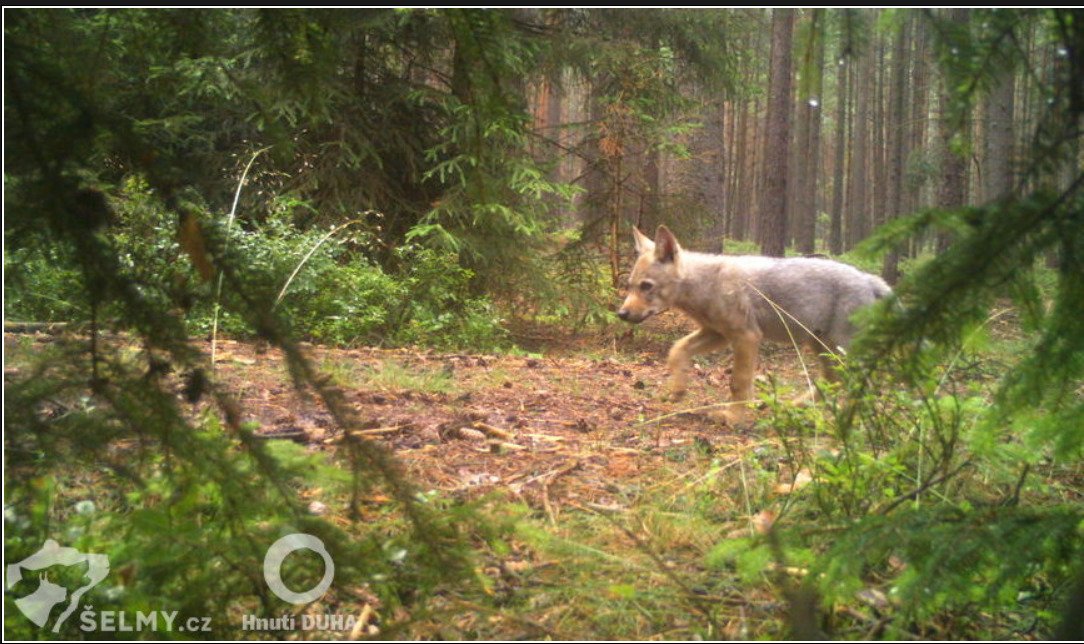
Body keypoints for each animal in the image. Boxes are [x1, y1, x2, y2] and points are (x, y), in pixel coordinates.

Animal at [620, 223, 888, 407]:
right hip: (822, 347)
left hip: (841, 351)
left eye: (646, 286)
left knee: (863, 387)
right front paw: (676, 390)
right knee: (833, 381)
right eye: (629, 286)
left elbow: (738, 384)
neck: (706, 285)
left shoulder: (746, 337)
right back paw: (799, 409)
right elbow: (677, 351)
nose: (621, 313)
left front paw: (733, 419)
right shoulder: (717, 334)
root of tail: (868, 278)